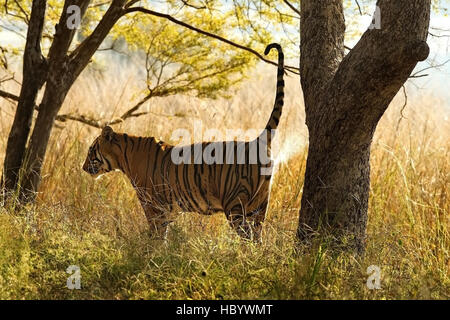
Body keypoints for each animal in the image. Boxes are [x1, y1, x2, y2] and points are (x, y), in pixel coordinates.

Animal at [82, 43, 284, 242]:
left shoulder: (153, 206)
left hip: (235, 206)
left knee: (248, 239)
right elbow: (162, 235)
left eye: (91, 150)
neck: (124, 156)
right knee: (258, 238)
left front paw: (150, 250)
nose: (83, 168)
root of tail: (257, 141)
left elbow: (155, 235)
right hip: (258, 206)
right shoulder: (167, 210)